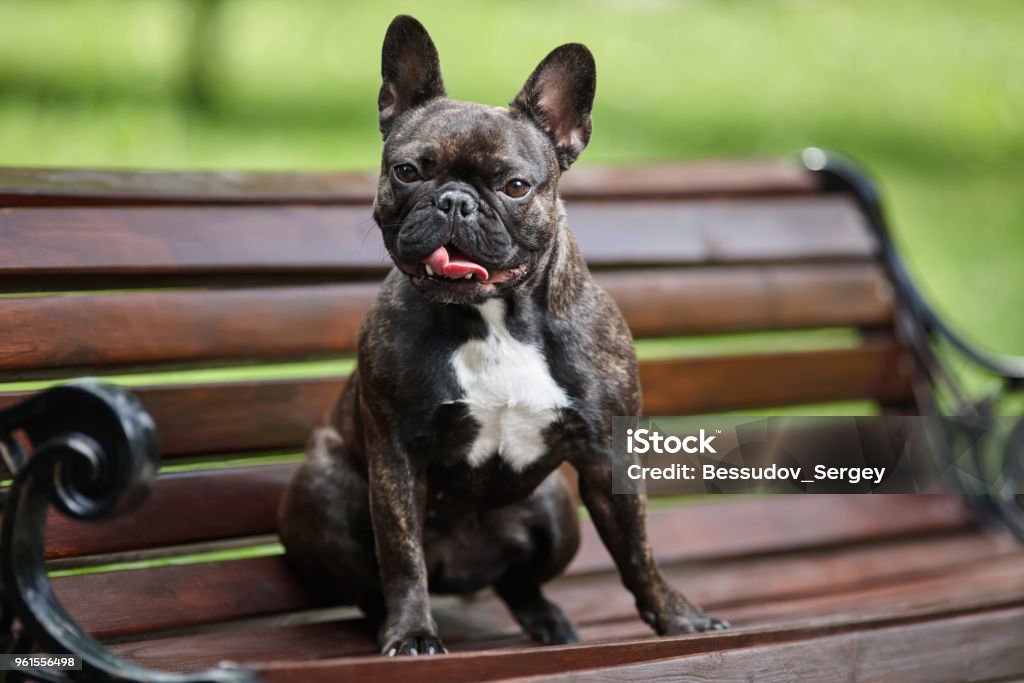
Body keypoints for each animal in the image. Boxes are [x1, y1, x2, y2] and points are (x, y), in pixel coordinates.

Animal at [280, 14, 729, 655]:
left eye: (515, 186)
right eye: (407, 171)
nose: (455, 201)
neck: (492, 318)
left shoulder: (605, 454)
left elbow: (637, 551)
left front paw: (677, 617)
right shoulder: (396, 459)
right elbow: (402, 557)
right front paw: (412, 634)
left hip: (558, 511)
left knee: (520, 584)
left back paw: (548, 619)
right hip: (323, 492)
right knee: (373, 580)